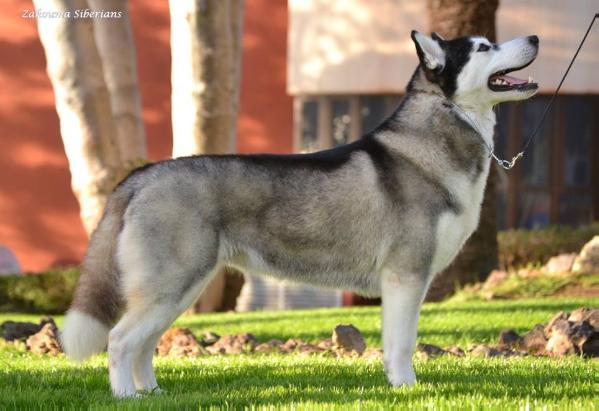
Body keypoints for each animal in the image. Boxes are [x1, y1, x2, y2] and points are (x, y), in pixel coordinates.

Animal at [59, 30, 540, 398]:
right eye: (484, 47)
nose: (535, 38)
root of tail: (141, 175)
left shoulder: (402, 280)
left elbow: (394, 344)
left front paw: (397, 386)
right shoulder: (406, 275)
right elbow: (402, 345)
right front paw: (407, 388)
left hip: (180, 288)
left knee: (144, 344)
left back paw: (153, 394)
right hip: (171, 283)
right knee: (120, 340)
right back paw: (125, 397)